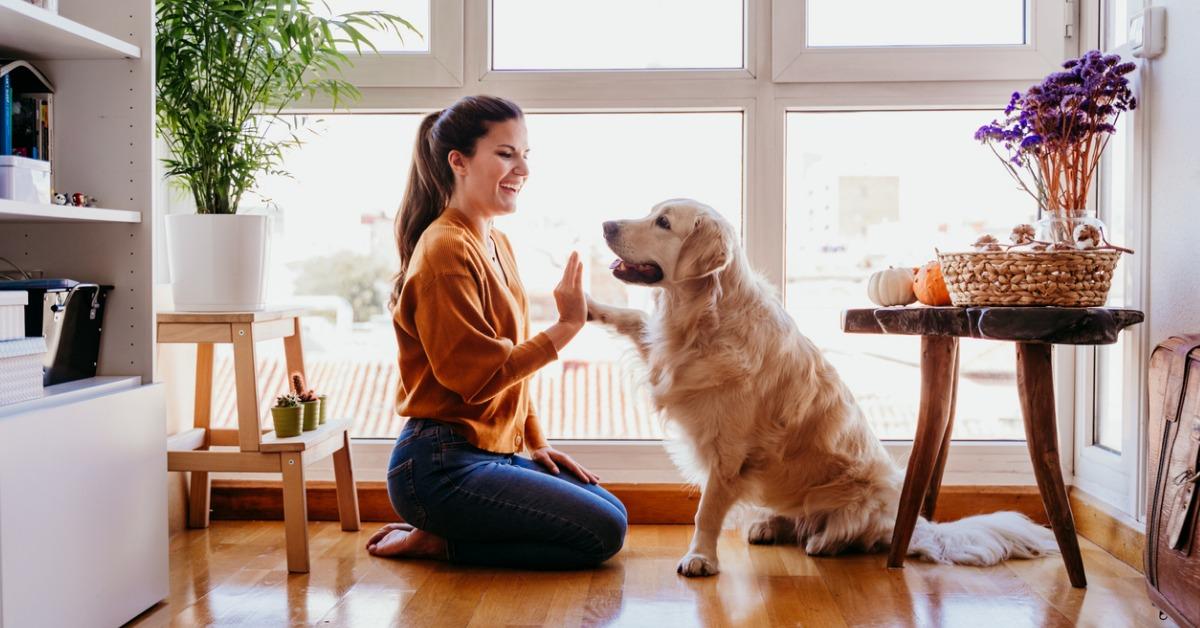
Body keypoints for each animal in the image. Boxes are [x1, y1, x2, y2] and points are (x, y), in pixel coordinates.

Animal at [585, 199, 1056, 578]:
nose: (605, 224)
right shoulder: (664, 355)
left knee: (852, 533)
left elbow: (707, 512)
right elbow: (632, 318)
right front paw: (587, 305)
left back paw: (823, 541)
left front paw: (700, 558)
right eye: (651, 212)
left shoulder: (728, 452)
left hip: (862, 495)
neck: (703, 318)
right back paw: (769, 526)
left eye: (663, 222)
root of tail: (910, 522)